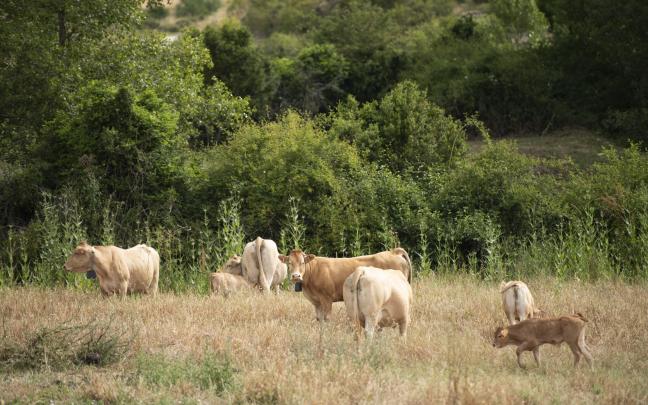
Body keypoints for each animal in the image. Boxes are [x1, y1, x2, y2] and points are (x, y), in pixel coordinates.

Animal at [278, 248, 412, 321]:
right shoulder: (316, 302)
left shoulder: (327, 299)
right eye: (289, 263)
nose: (296, 276)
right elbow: (319, 319)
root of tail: (393, 252)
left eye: (302, 262)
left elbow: (326, 318)